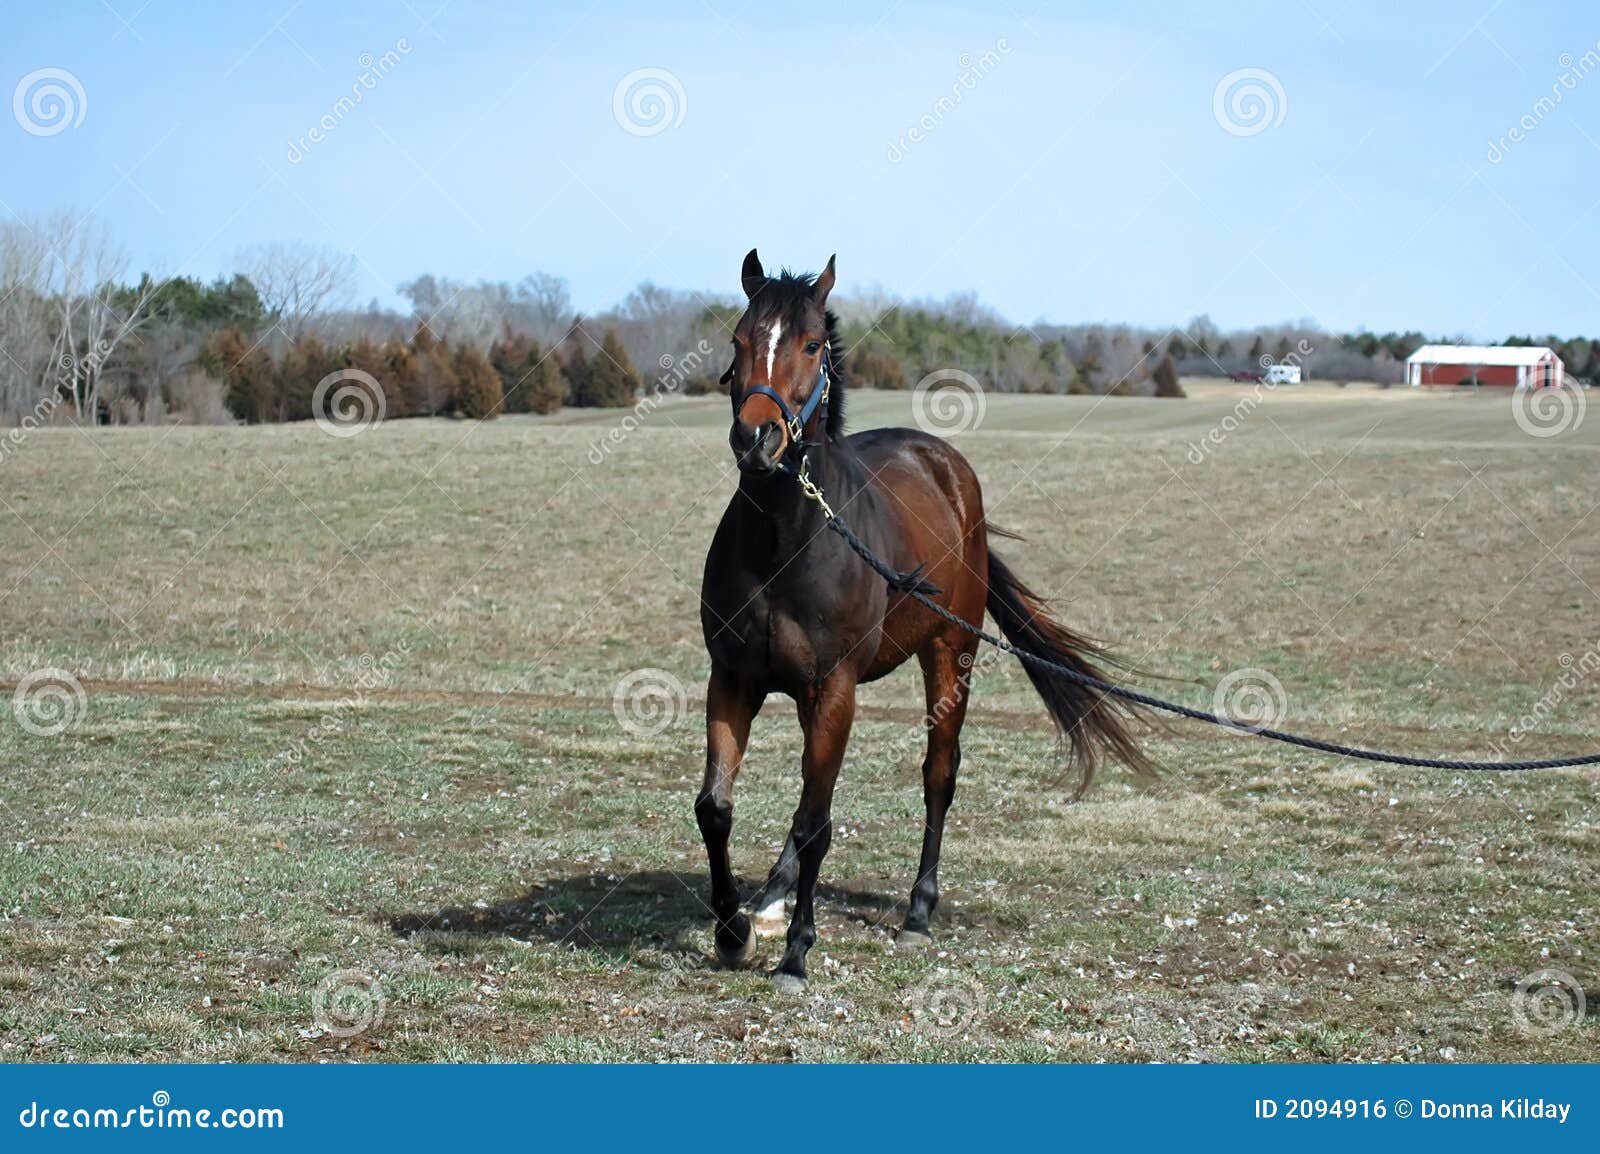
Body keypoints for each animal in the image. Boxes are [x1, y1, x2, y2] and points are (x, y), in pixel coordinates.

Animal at [697, 249, 1150, 991]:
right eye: (738, 340)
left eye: (812, 344)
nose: (756, 439)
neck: (786, 538)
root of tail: (948, 468)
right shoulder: (734, 679)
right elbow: (718, 808)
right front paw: (733, 932)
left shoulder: (835, 687)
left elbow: (818, 822)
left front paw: (796, 953)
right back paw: (770, 896)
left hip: (949, 652)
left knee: (937, 773)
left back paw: (916, 912)